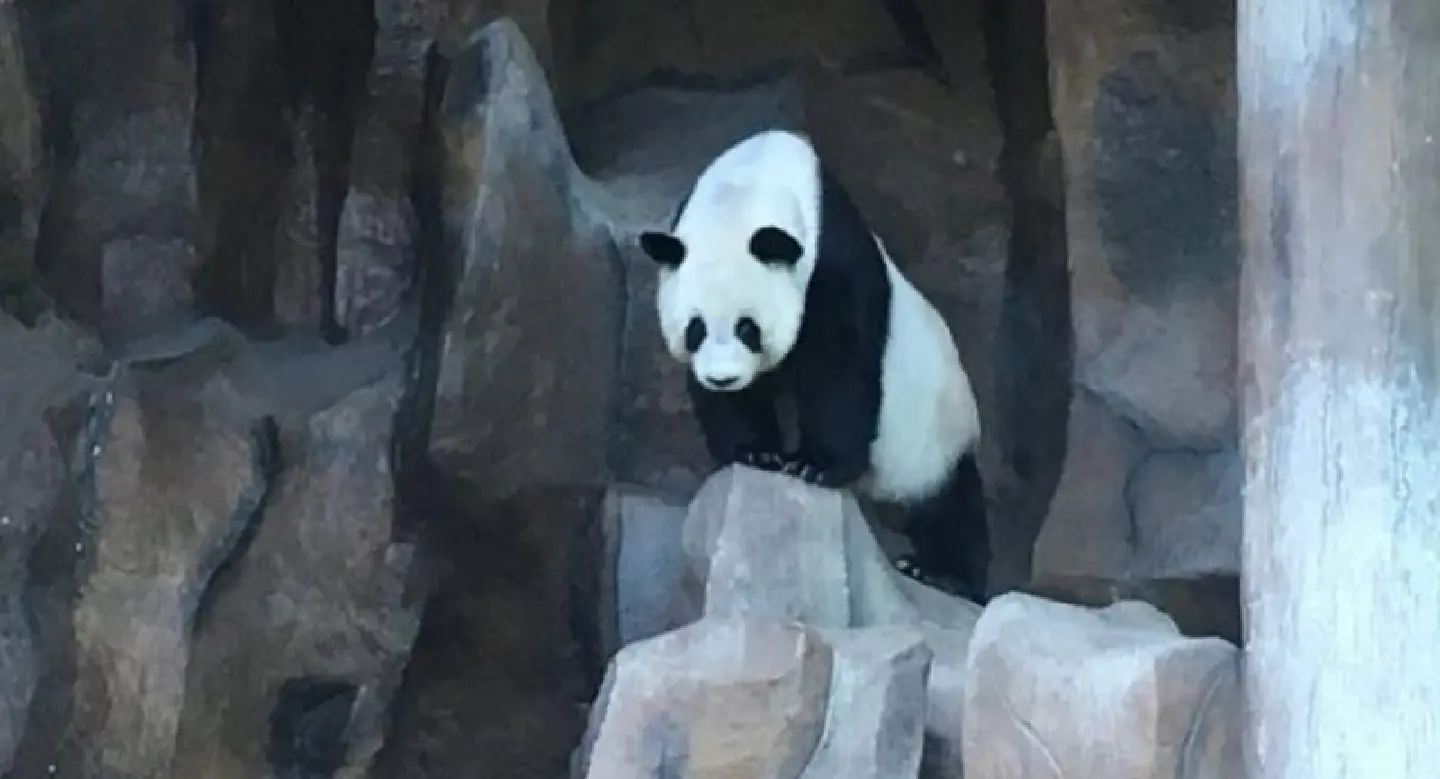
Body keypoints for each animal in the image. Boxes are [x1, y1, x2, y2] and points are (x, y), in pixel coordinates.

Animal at [637, 128, 991, 602]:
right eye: (695, 329)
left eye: (748, 327)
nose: (723, 378)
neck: (752, 182)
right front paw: (756, 451)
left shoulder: (831, 265)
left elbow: (838, 368)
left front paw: (815, 465)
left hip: (936, 436)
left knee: (950, 505)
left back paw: (942, 573)